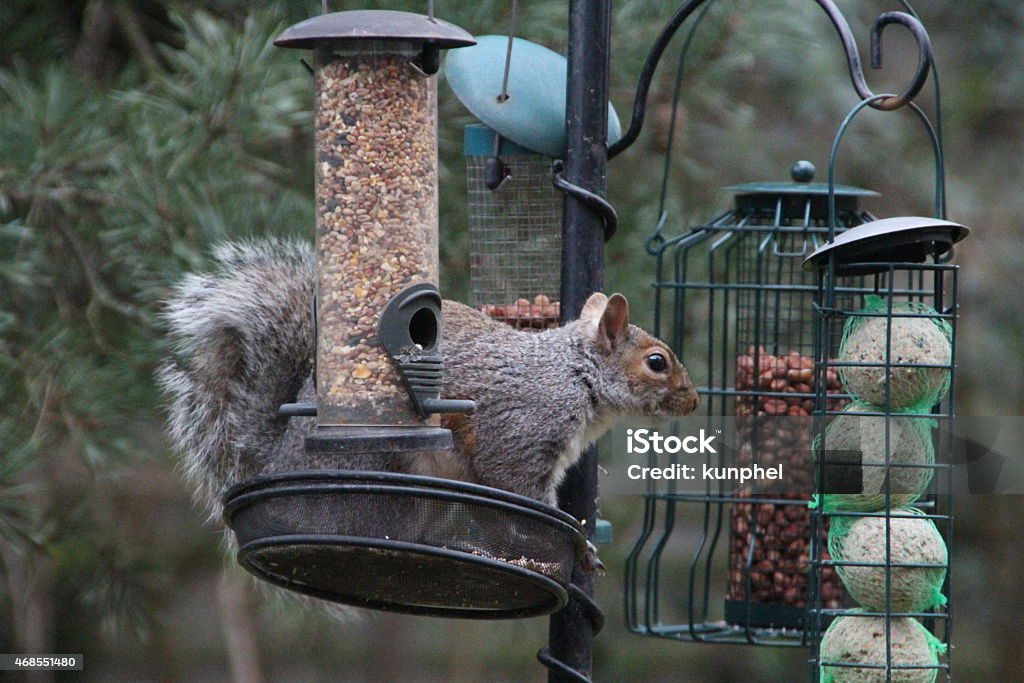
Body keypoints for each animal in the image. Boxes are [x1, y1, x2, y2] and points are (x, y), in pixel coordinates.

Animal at [159, 237, 700, 520]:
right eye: (657, 362)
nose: (694, 402)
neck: (575, 376)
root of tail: (278, 458)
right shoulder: (524, 428)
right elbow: (517, 482)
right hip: (375, 456)